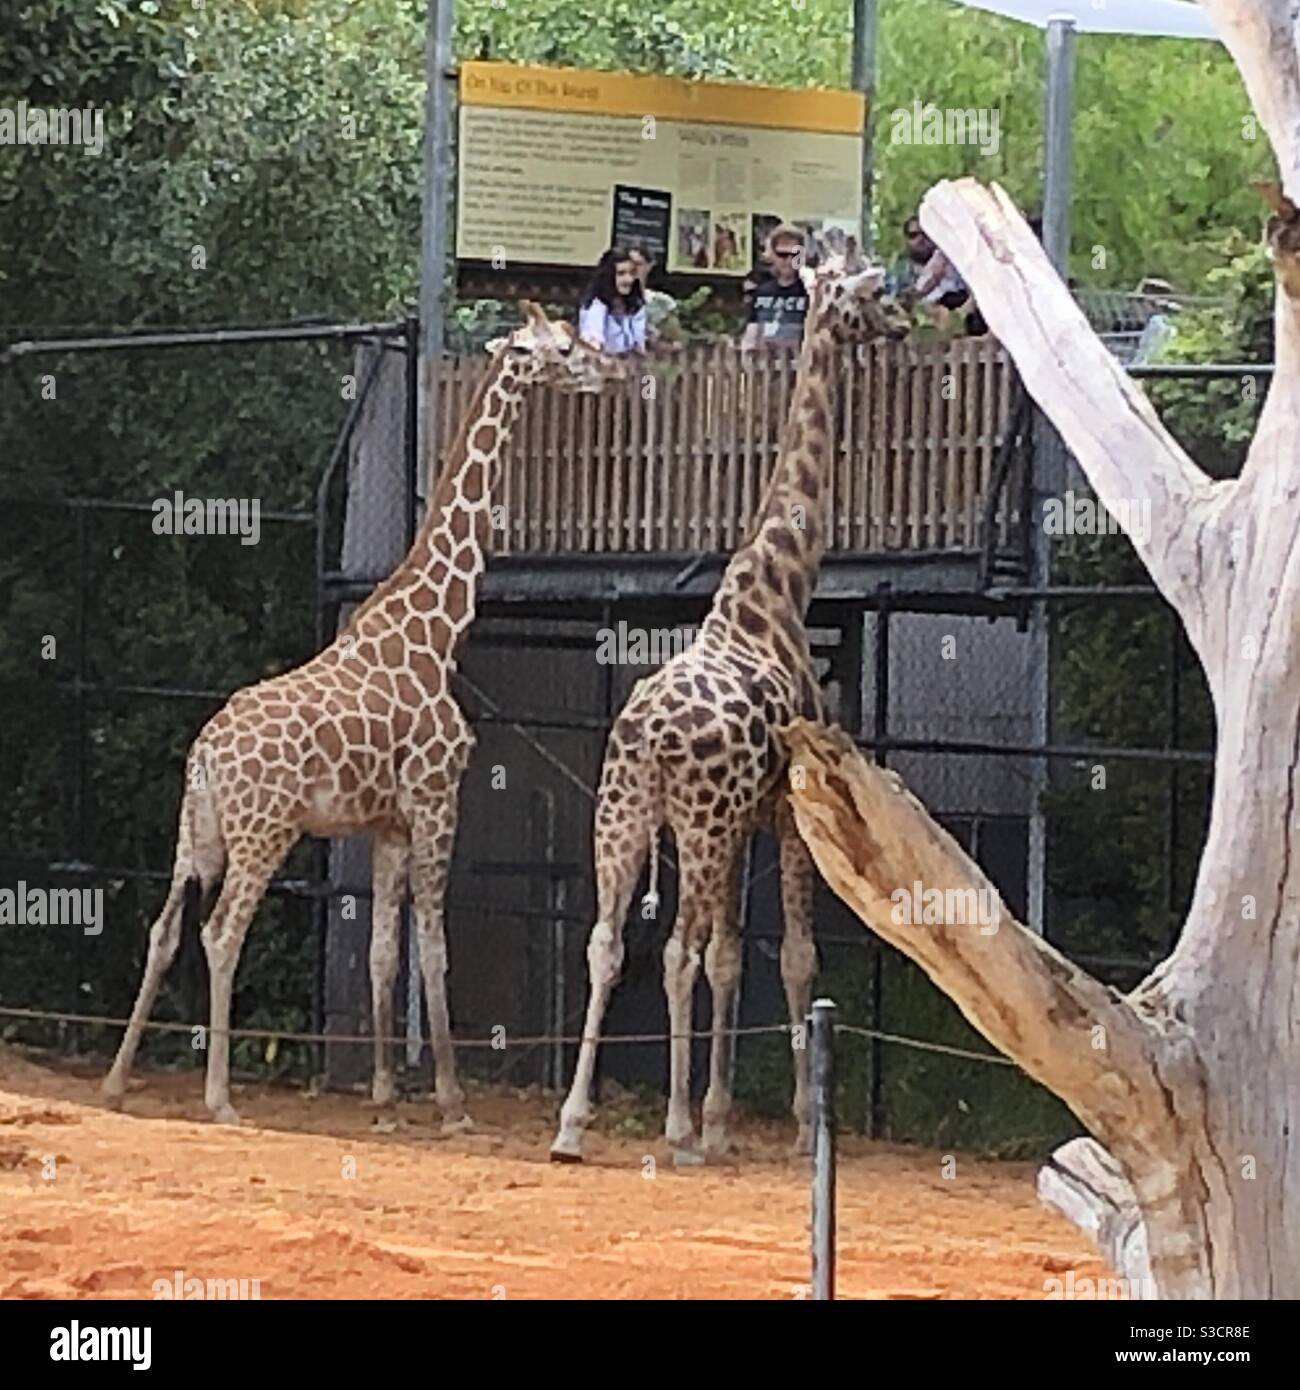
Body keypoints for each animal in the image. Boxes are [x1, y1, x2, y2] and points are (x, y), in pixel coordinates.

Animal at [103, 305, 625, 1127]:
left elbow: (383, 950)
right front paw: (452, 1102)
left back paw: (118, 1081)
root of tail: (208, 753)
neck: (438, 629)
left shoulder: (388, 822)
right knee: (221, 932)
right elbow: (433, 947)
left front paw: (382, 1088)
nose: (617, 371)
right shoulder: (439, 799)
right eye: (567, 348)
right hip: (266, 831)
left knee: (163, 929)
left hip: (198, 832)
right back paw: (219, 1097)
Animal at [551, 262, 909, 1164]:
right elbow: (792, 957)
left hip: (626, 817)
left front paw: (719, 1115)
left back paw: (572, 1124)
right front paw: (793, 1122)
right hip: (698, 823)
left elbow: (729, 956)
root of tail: (648, 737)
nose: (898, 323)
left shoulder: (744, 820)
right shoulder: (791, 815)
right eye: (867, 290)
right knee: (671, 949)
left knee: (607, 943)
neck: (778, 589)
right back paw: (674, 1127)